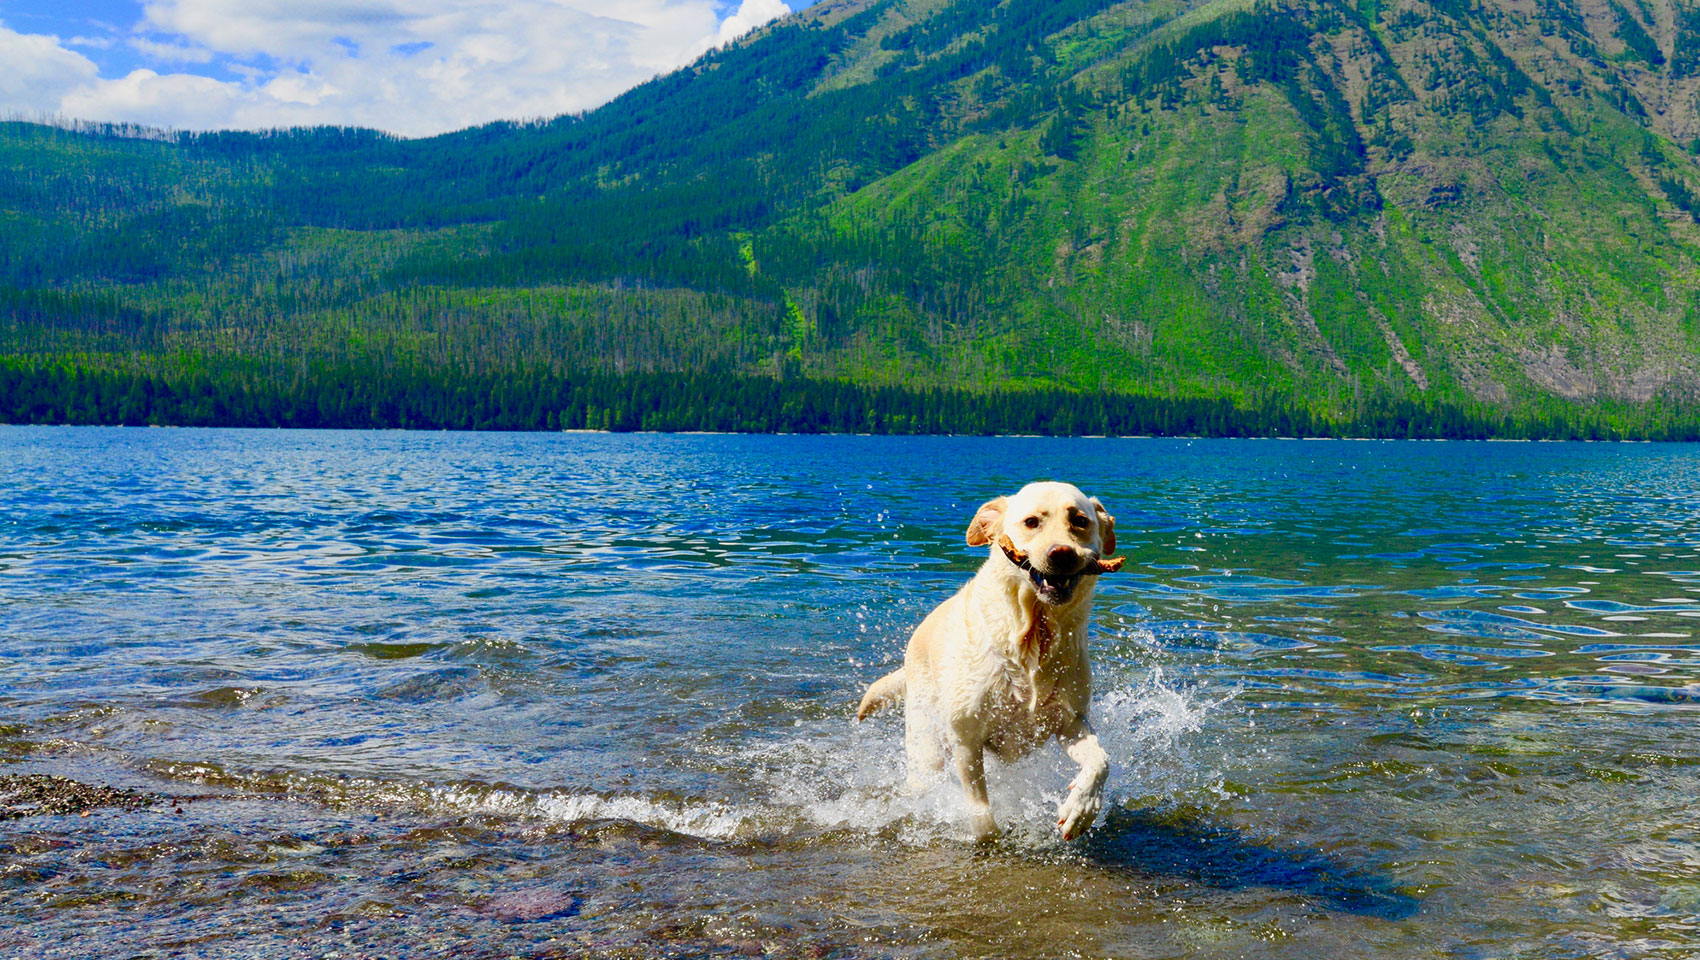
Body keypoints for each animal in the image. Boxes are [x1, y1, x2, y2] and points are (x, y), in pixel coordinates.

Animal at [856, 479, 1122, 839]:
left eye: (1080, 521)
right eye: (1032, 522)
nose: (1062, 553)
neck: (1033, 635)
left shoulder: (1070, 722)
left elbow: (1101, 761)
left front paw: (1081, 808)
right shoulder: (966, 738)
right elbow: (981, 812)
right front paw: (988, 838)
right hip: (926, 745)